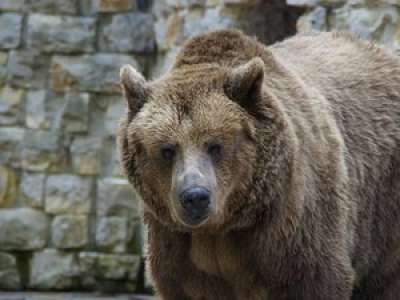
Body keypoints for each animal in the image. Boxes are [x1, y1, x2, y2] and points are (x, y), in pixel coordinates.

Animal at [117, 28, 400, 300]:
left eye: (215, 146)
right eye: (167, 150)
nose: (195, 197)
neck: (225, 226)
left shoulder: (293, 231)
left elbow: (316, 280)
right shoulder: (179, 247)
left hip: (381, 209)